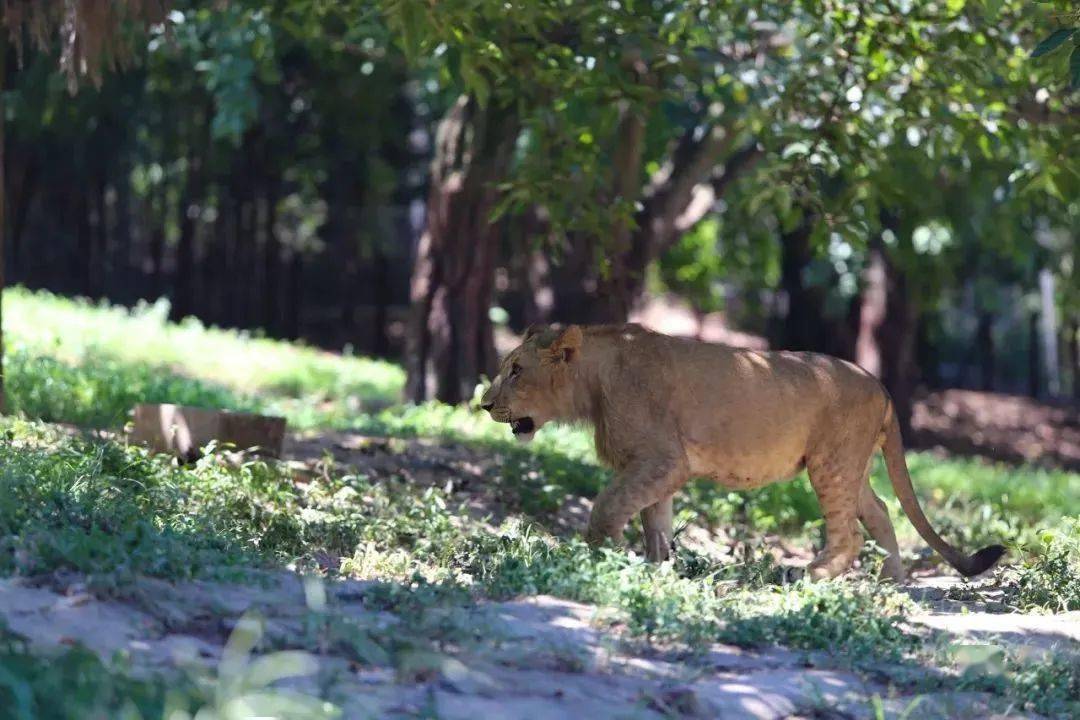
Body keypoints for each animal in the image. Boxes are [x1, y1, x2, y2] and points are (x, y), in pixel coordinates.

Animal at [481, 323, 1002, 582]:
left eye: (516, 370)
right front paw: (656, 571)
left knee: (849, 534)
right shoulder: (656, 467)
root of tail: (882, 387)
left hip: (830, 463)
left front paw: (597, 558)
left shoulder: (663, 459)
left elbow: (608, 507)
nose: (484, 404)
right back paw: (891, 583)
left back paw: (814, 576)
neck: (594, 381)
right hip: (850, 465)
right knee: (880, 514)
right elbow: (655, 524)